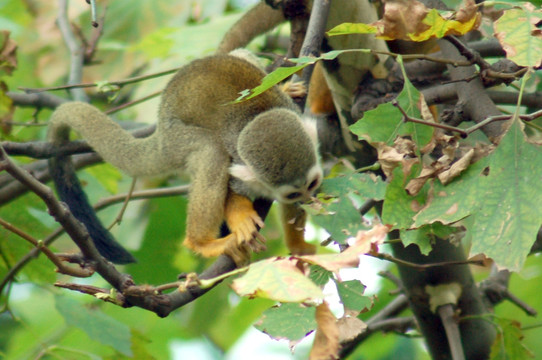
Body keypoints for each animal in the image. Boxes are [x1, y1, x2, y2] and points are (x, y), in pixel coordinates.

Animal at [47, 50, 324, 264]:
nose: (309, 200)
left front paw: (299, 246)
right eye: (294, 193)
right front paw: (242, 219)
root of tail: (160, 131)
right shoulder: (241, 166)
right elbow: (230, 186)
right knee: (211, 151)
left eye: (312, 185)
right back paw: (202, 243)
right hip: (178, 139)